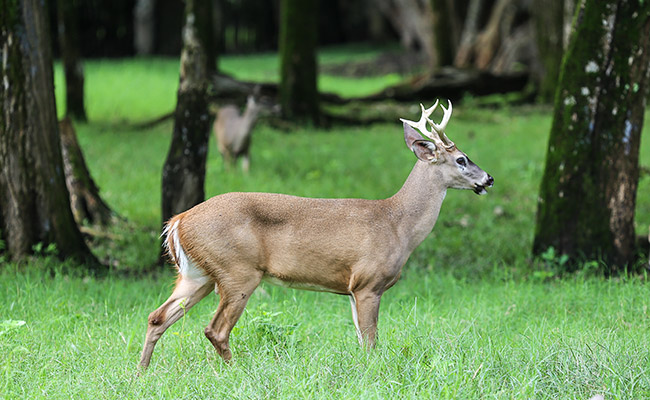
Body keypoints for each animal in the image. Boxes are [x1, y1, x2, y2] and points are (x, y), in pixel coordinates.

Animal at [137, 100, 492, 368]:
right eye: (461, 159)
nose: (488, 179)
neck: (397, 224)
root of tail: (178, 221)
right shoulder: (368, 282)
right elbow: (371, 340)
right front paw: (374, 372)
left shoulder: (351, 289)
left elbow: (361, 338)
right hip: (237, 271)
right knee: (215, 329)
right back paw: (233, 370)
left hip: (197, 275)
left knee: (157, 317)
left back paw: (141, 373)